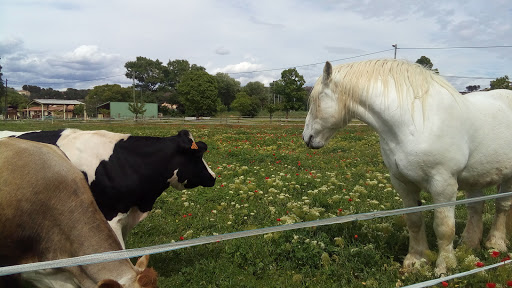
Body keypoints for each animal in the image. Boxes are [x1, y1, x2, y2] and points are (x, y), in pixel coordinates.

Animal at [302, 58, 512, 274]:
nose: (307, 138)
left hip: (506, 178)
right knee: (476, 208)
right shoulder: (403, 184)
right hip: (475, 178)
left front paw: (444, 266)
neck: (414, 122)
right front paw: (416, 260)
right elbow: (414, 221)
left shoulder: (443, 185)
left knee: (502, 206)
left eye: (315, 100)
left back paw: (495, 243)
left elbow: (444, 227)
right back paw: (468, 245)